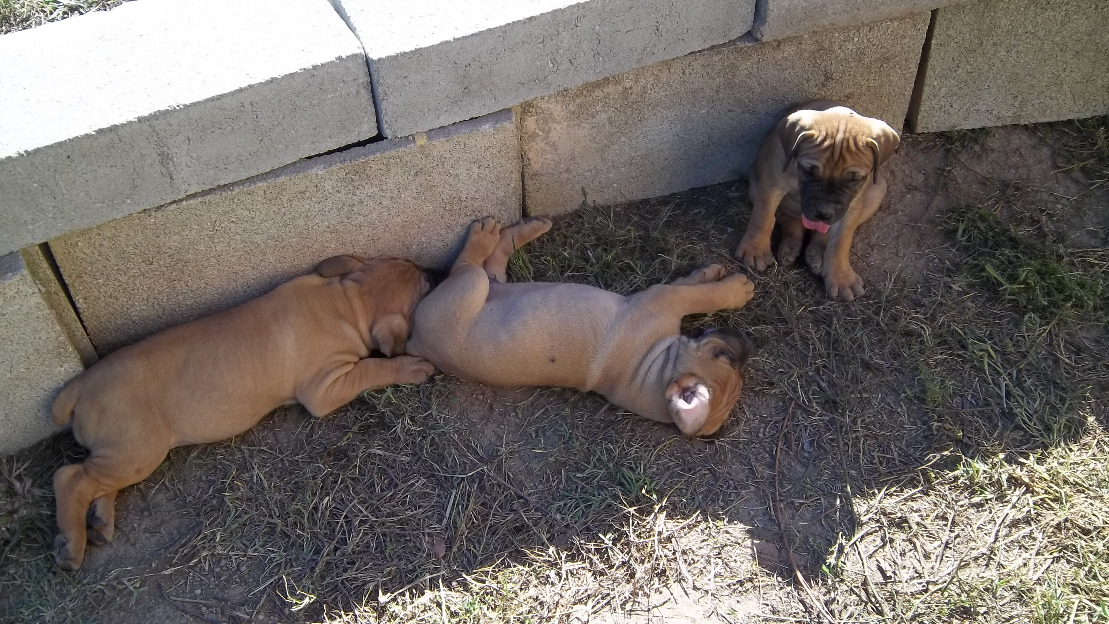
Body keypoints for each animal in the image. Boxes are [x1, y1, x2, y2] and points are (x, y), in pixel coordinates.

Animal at [51, 254, 432, 571]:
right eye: (424, 289)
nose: (431, 270)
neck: (347, 302)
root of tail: (80, 385)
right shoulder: (326, 387)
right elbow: (374, 368)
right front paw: (410, 366)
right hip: (138, 449)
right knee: (70, 477)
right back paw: (72, 546)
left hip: (122, 452)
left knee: (95, 479)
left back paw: (100, 521)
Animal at [410, 217, 762, 436]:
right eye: (724, 357)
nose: (744, 343)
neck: (654, 371)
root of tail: (416, 341)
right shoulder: (663, 297)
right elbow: (695, 292)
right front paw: (726, 284)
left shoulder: (662, 300)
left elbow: (693, 292)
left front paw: (722, 282)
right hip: (477, 285)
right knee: (474, 264)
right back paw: (510, 231)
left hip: (476, 285)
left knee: (478, 264)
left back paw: (498, 234)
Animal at [736, 100, 900, 299]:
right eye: (809, 170)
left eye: (854, 178)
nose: (824, 212)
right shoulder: (771, 185)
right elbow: (763, 218)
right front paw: (755, 251)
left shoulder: (850, 209)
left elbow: (841, 243)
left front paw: (842, 278)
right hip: (755, 187)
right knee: (788, 219)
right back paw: (791, 245)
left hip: (877, 190)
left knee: (822, 232)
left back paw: (818, 252)